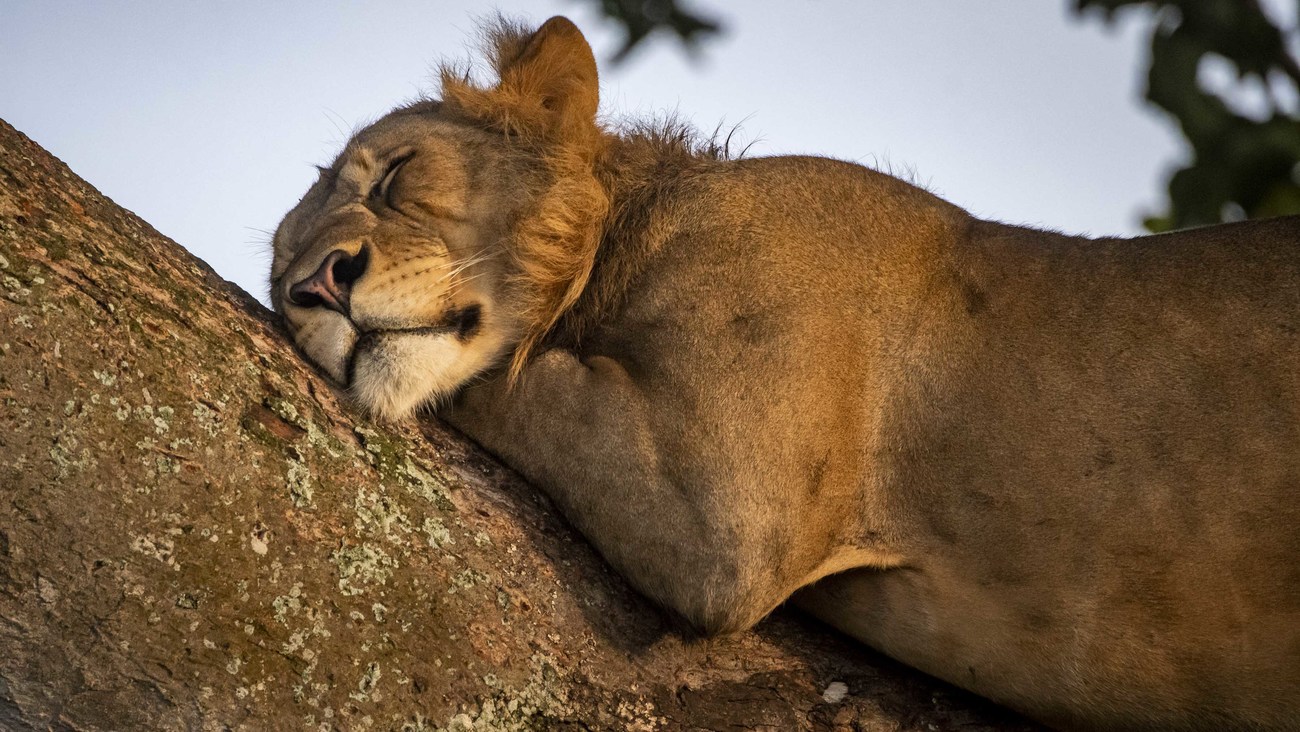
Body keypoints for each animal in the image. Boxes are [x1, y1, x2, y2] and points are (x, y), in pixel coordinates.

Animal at [266, 14, 1300, 728]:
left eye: (394, 175)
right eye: (279, 280)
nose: (315, 286)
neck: (618, 248)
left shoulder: (728, 520)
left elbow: (505, 376)